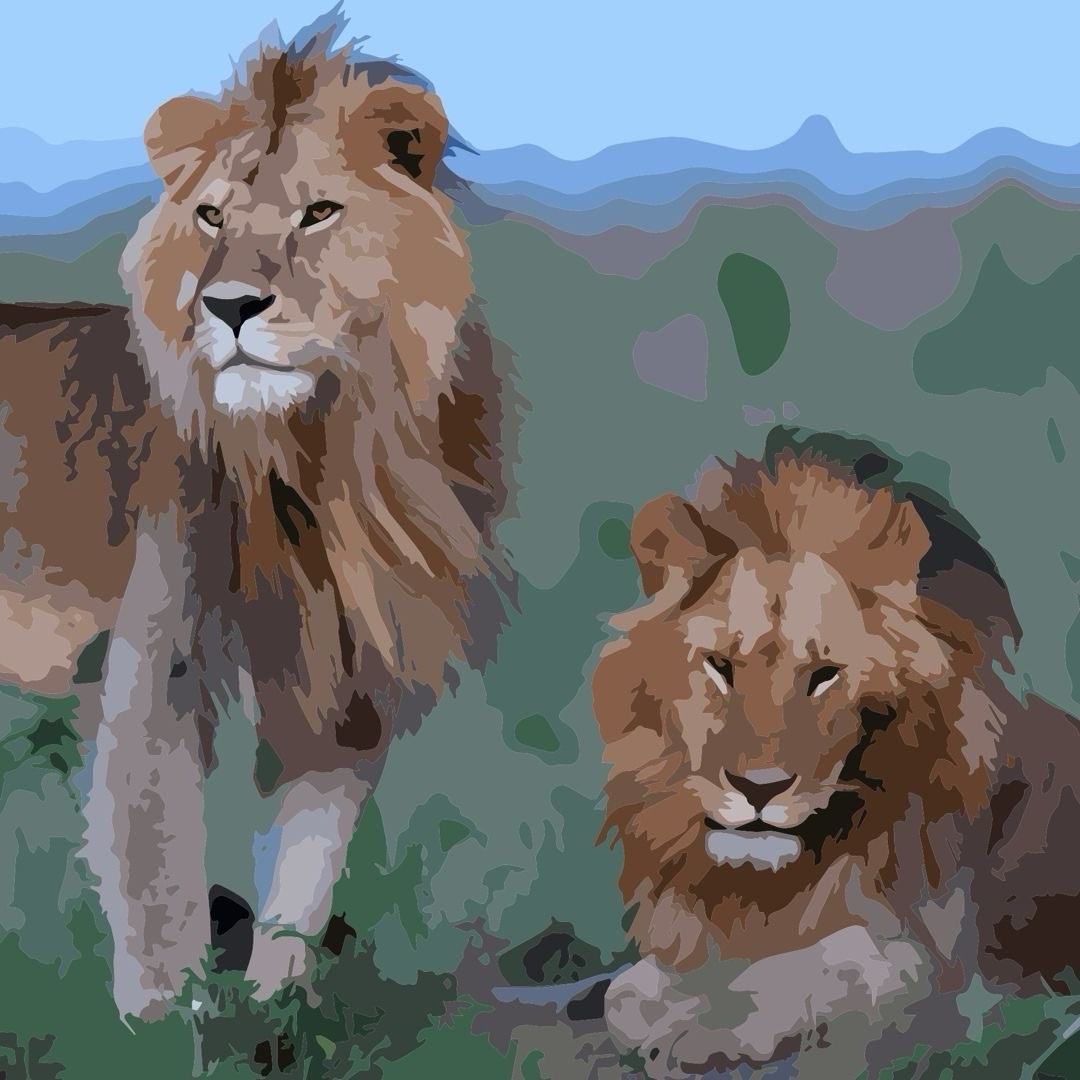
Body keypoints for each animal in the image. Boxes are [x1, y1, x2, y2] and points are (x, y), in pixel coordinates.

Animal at [0, 14, 512, 1021]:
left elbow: (309, 862)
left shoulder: (347, 671)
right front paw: (165, 1025)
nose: (229, 305)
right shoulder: (158, 647)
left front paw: (276, 1009)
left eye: (317, 214)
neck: (323, 450)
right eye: (211, 219)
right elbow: (155, 867)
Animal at [593, 443, 1080, 1075]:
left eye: (824, 675)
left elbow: (836, 962)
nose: (758, 788)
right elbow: (621, 993)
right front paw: (669, 1000)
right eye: (720, 667)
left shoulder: (954, 988)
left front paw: (706, 1024)